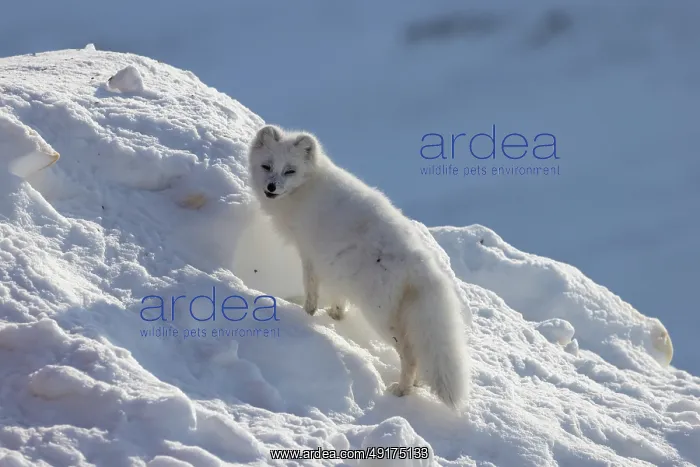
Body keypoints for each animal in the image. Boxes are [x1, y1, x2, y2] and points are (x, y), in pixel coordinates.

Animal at [246, 125, 470, 409]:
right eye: (266, 166)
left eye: (290, 170)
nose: (271, 187)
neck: (307, 189)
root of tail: (421, 263)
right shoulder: (334, 263)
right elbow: (337, 296)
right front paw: (335, 315)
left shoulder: (310, 254)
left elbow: (311, 290)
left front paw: (306, 315)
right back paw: (416, 384)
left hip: (380, 316)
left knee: (410, 355)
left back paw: (401, 390)